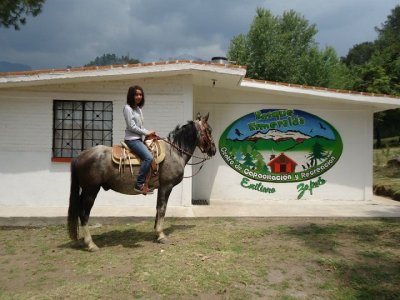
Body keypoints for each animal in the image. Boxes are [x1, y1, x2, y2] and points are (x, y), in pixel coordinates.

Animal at [69, 112, 217, 251]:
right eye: (209, 130)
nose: (214, 150)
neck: (174, 152)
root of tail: (80, 156)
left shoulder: (161, 187)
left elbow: (158, 208)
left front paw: (156, 233)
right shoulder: (166, 186)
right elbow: (162, 208)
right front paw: (161, 235)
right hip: (91, 190)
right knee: (84, 213)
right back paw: (91, 244)